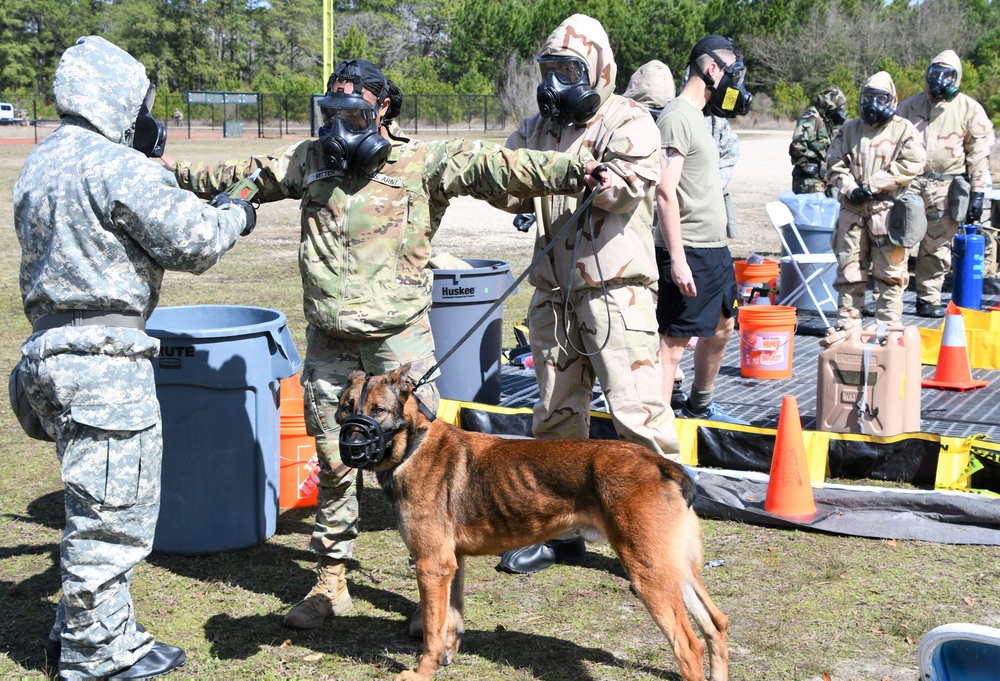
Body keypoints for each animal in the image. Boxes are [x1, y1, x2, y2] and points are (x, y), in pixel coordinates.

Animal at [336, 366, 728, 680]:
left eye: (378, 411)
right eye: (345, 408)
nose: (351, 447)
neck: (413, 445)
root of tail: (663, 465)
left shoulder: (433, 566)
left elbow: (433, 631)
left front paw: (421, 673)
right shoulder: (452, 564)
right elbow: (452, 621)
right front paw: (448, 657)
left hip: (649, 575)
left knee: (689, 647)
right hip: (676, 571)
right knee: (716, 624)